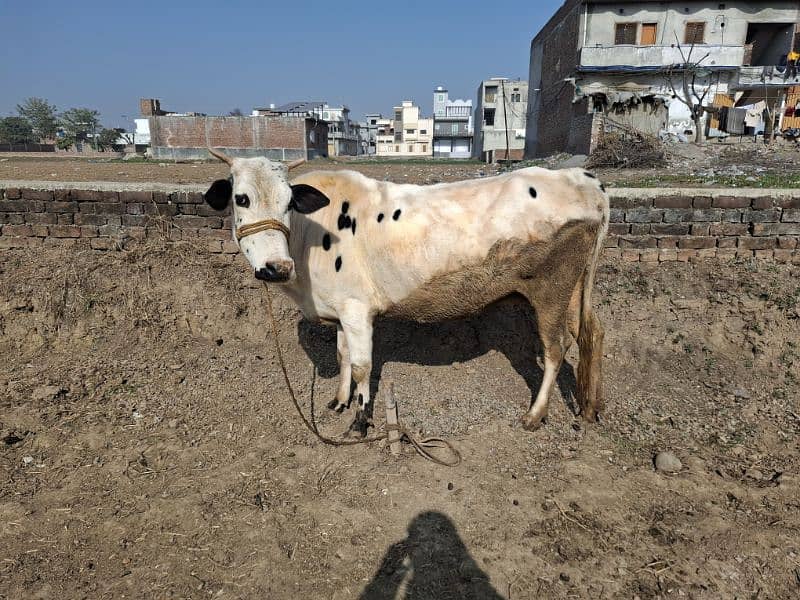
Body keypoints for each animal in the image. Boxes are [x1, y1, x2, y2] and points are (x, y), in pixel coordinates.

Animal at [203, 150, 608, 438]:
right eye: (241, 199)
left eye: (288, 201)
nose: (276, 267)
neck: (308, 238)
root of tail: (583, 179)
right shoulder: (341, 309)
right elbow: (342, 355)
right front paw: (339, 401)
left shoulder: (357, 309)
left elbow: (362, 365)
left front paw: (360, 421)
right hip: (574, 289)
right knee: (590, 333)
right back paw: (589, 407)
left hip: (550, 288)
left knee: (556, 347)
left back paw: (535, 414)